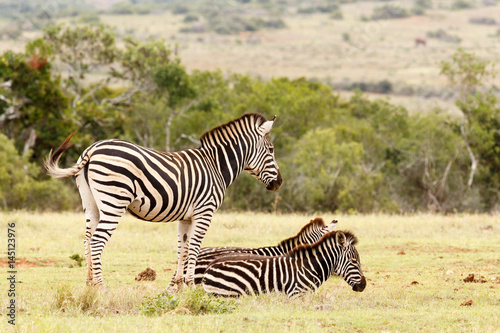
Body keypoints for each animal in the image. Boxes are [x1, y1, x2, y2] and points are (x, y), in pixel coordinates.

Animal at [44, 112, 282, 288]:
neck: (216, 166)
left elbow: (182, 249)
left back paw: (89, 286)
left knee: (86, 240)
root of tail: (92, 149)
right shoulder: (204, 212)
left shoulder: (186, 217)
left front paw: (175, 286)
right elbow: (194, 247)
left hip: (91, 204)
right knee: (96, 241)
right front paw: (191, 287)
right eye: (271, 150)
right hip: (114, 201)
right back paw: (102, 288)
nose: (279, 183)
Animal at [201, 230, 366, 296]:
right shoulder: (296, 294)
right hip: (227, 294)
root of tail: (210, 266)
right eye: (354, 261)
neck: (309, 267)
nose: (363, 285)